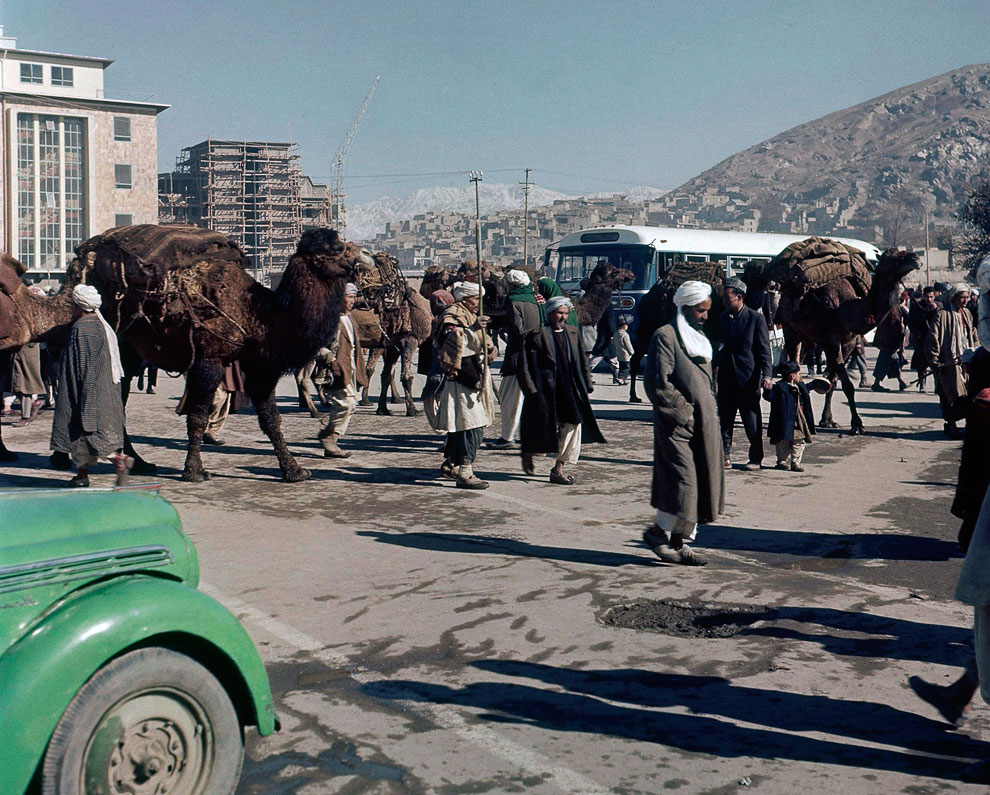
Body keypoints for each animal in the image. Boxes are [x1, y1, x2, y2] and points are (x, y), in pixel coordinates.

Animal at [72, 225, 376, 486]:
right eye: (336, 247)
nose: (368, 255)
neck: (258, 315)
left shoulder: (260, 367)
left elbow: (271, 419)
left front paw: (294, 470)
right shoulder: (207, 361)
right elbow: (197, 416)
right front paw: (194, 471)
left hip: (129, 351)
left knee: (121, 394)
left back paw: (138, 461)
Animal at [740, 244, 920, 436]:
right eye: (893, 258)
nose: (915, 258)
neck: (844, 311)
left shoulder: (848, 342)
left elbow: (833, 381)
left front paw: (828, 421)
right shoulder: (830, 340)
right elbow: (847, 385)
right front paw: (857, 424)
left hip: (808, 338)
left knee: (797, 361)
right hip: (790, 330)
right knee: (794, 360)